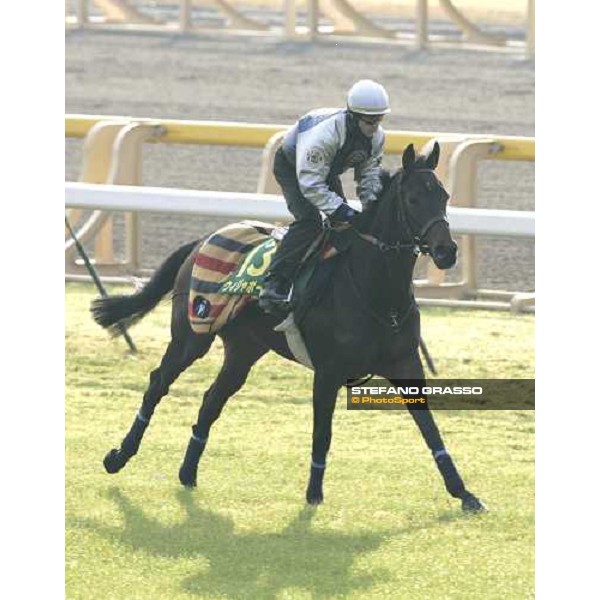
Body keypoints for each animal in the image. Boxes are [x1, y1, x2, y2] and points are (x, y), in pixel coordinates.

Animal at [92, 142, 488, 510]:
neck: (376, 291)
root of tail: (201, 239)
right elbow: (322, 433)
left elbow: (430, 428)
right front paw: (314, 496)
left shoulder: (405, 364)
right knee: (158, 382)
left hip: (245, 349)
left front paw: (464, 493)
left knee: (211, 400)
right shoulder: (328, 372)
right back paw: (119, 456)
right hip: (193, 333)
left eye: (444, 195)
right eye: (413, 198)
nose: (447, 251)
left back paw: (188, 473)